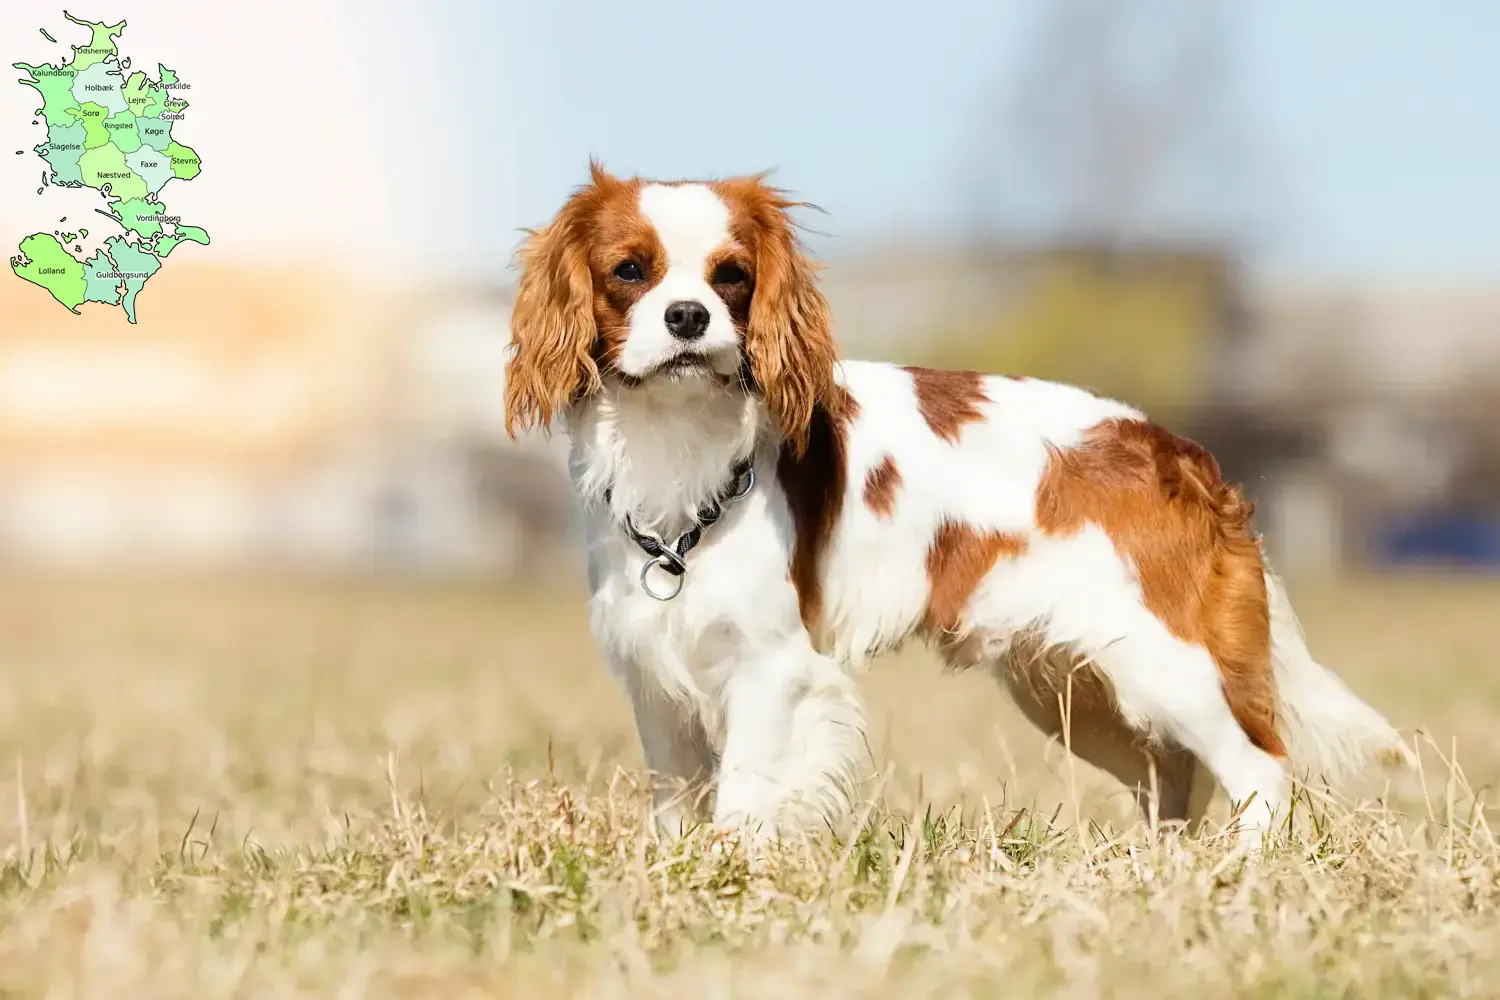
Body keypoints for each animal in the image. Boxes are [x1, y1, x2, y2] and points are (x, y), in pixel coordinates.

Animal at [501, 162, 1404, 845]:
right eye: (630, 271)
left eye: (732, 276)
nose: (690, 316)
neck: (676, 441)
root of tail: (1176, 452)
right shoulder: (656, 676)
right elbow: (677, 803)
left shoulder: (770, 667)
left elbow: (747, 795)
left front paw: (735, 872)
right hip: (1078, 692)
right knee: (1176, 776)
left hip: (1165, 666)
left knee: (1260, 768)